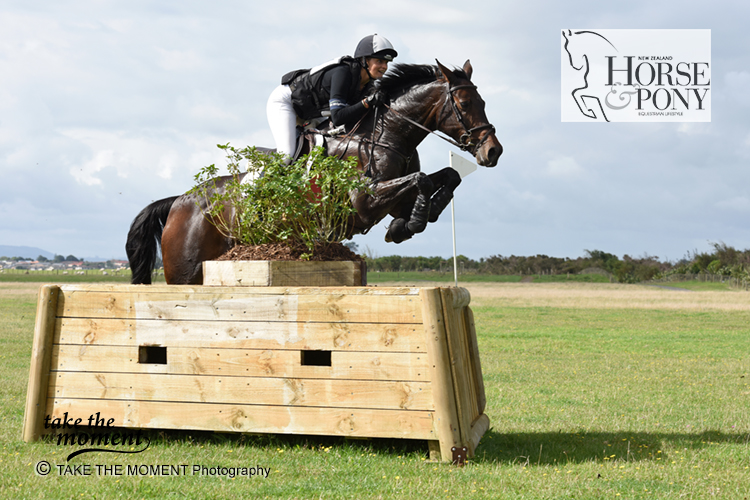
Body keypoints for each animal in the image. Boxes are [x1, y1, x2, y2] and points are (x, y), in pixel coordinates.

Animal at [128, 60, 506, 284]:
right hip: (186, 270)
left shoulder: (392, 197)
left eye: (483, 102)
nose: (493, 151)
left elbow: (446, 178)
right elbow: (423, 179)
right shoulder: (364, 202)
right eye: (465, 104)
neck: (386, 136)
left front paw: (409, 222)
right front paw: (408, 225)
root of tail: (181, 201)